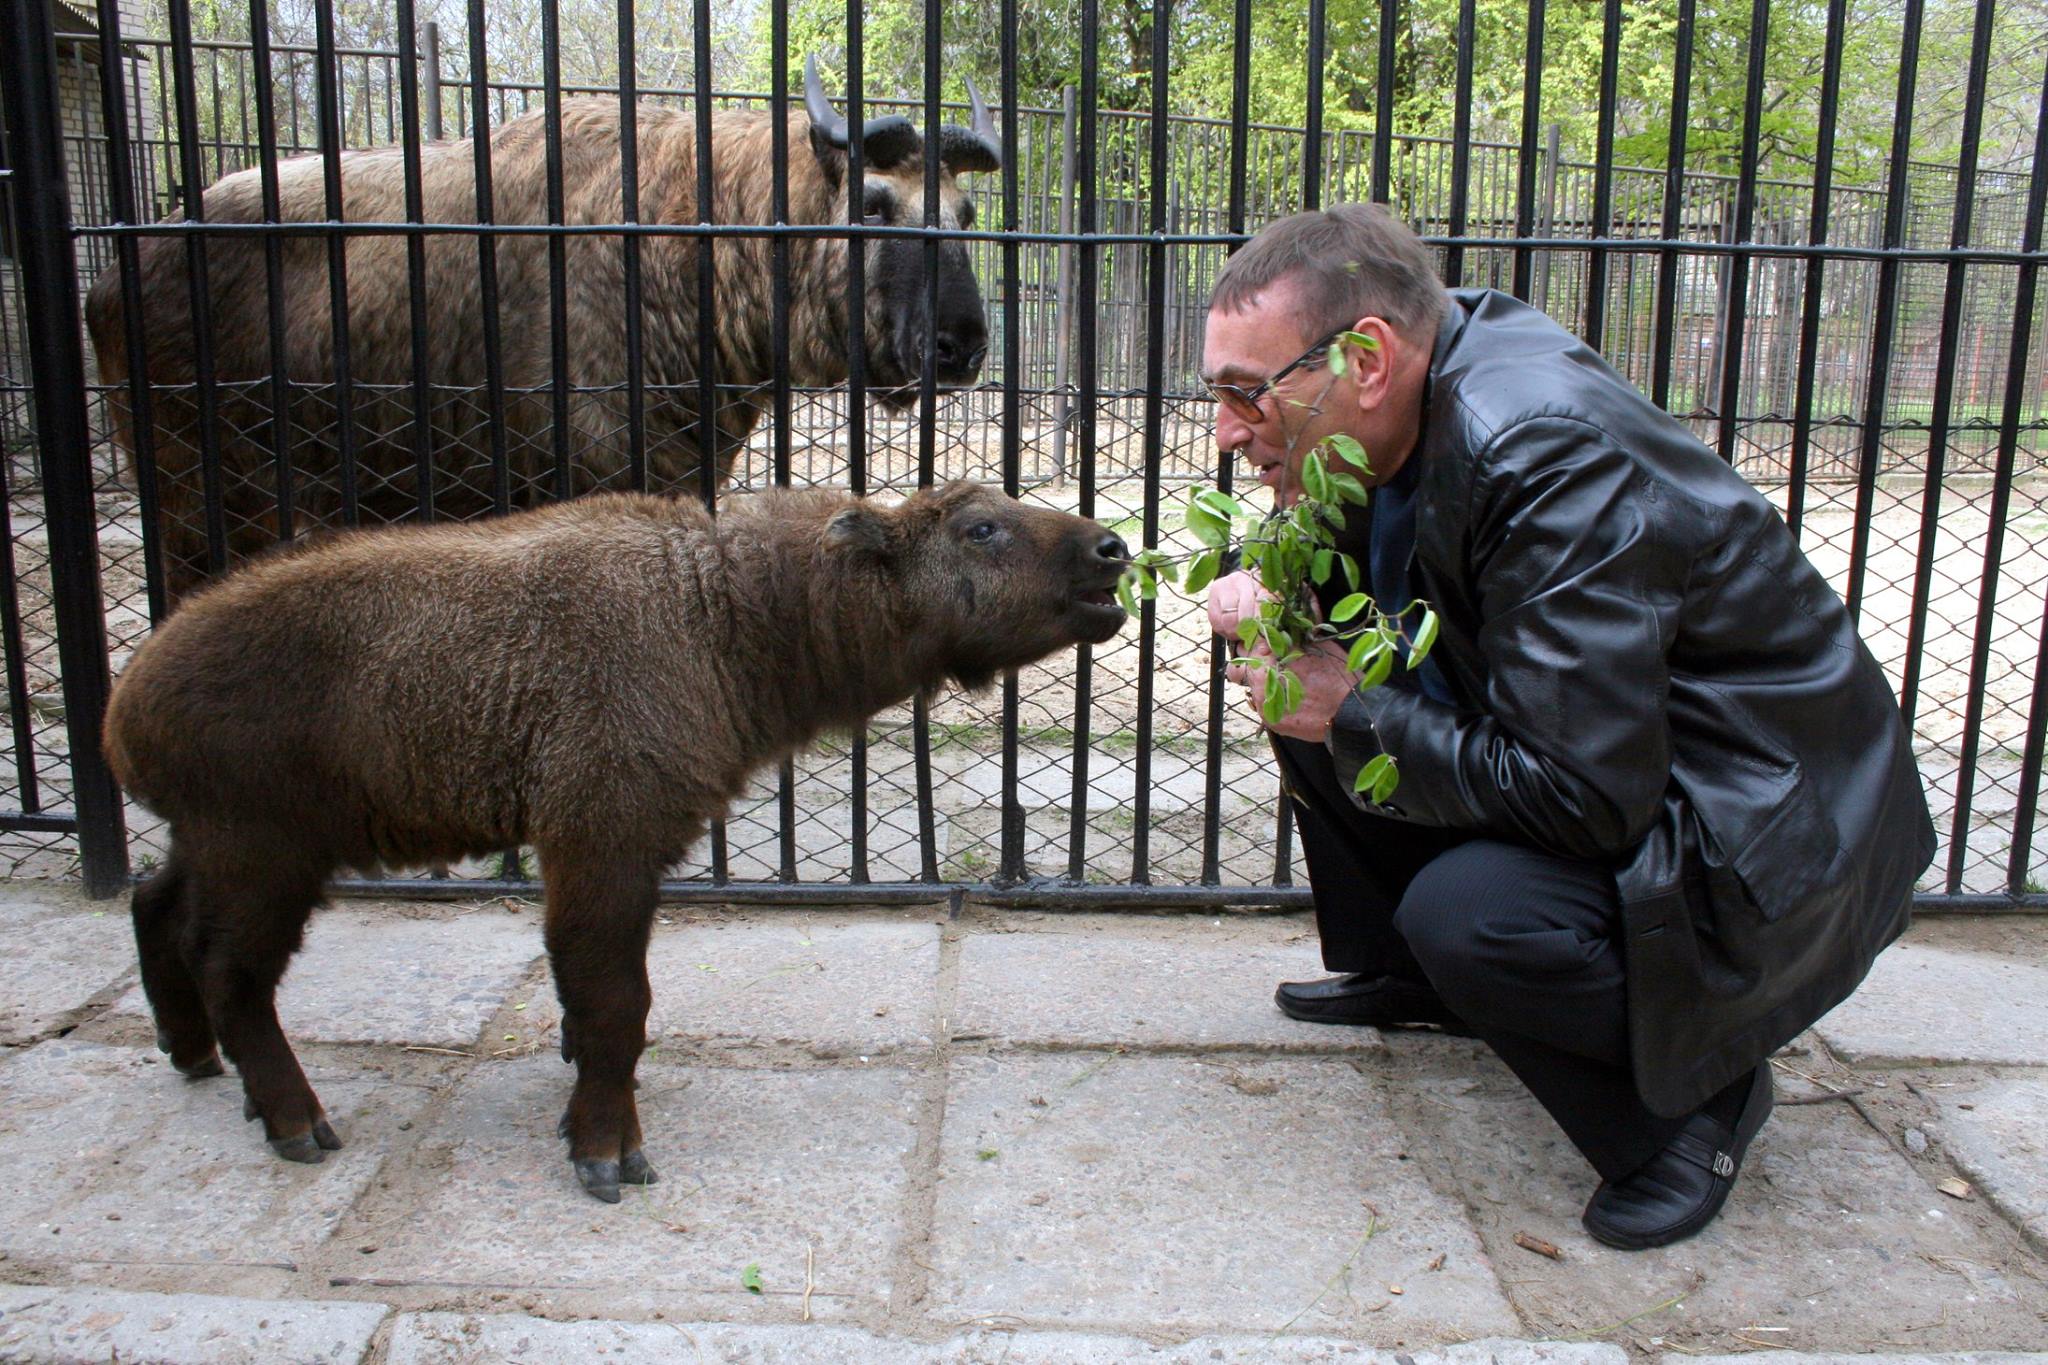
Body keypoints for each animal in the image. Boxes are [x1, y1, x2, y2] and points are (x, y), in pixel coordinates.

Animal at [103, 482, 1130, 1203]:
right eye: (980, 528)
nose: (1113, 550)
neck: (717, 613)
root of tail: (126, 703)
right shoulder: (604, 843)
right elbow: (614, 1004)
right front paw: (607, 1150)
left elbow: (585, 1000)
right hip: (267, 856)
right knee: (231, 968)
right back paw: (293, 1118)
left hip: (216, 846)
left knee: (155, 907)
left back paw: (194, 1057)